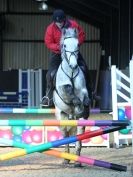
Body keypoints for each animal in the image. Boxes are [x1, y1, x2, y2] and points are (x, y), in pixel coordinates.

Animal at [52, 28, 89, 167]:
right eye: (64, 45)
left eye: (77, 45)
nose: (74, 66)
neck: (72, 73)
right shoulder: (63, 89)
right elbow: (69, 92)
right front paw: (78, 105)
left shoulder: (83, 90)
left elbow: (83, 96)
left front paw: (83, 106)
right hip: (61, 115)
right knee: (65, 135)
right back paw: (66, 159)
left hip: (81, 122)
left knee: (79, 136)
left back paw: (77, 161)